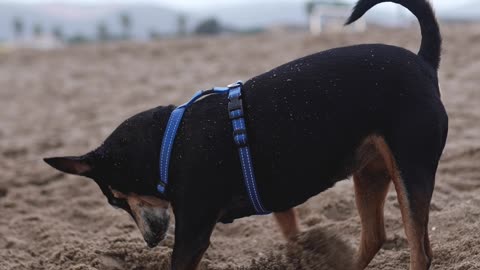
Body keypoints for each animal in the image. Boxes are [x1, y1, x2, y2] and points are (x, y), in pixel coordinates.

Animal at [44, 1, 446, 268]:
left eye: (115, 199)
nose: (149, 240)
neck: (167, 145)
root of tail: (423, 61)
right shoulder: (278, 197)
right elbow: (292, 232)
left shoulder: (191, 235)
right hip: (370, 172)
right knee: (375, 237)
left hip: (409, 169)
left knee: (419, 250)